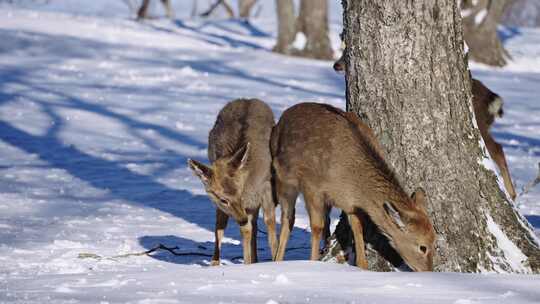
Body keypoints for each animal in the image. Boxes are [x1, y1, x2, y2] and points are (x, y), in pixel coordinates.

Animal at [187, 98, 278, 264]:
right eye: (223, 199)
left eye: (240, 192)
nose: (241, 218)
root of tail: (248, 99)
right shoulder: (222, 204)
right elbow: (222, 227)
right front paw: (216, 263)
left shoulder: (266, 188)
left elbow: (269, 224)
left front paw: (276, 260)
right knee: (246, 225)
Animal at [272, 102, 436, 270]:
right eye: (422, 247)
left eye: (435, 242)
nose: (429, 271)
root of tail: (280, 119)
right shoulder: (312, 186)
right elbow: (316, 226)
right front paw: (313, 263)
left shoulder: (349, 203)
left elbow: (357, 227)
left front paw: (362, 265)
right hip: (283, 177)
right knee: (288, 217)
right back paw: (276, 259)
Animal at [332, 52, 516, 201]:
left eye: (347, 51)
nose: (336, 65)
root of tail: (493, 100)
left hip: (480, 123)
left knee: (497, 148)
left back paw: (512, 195)